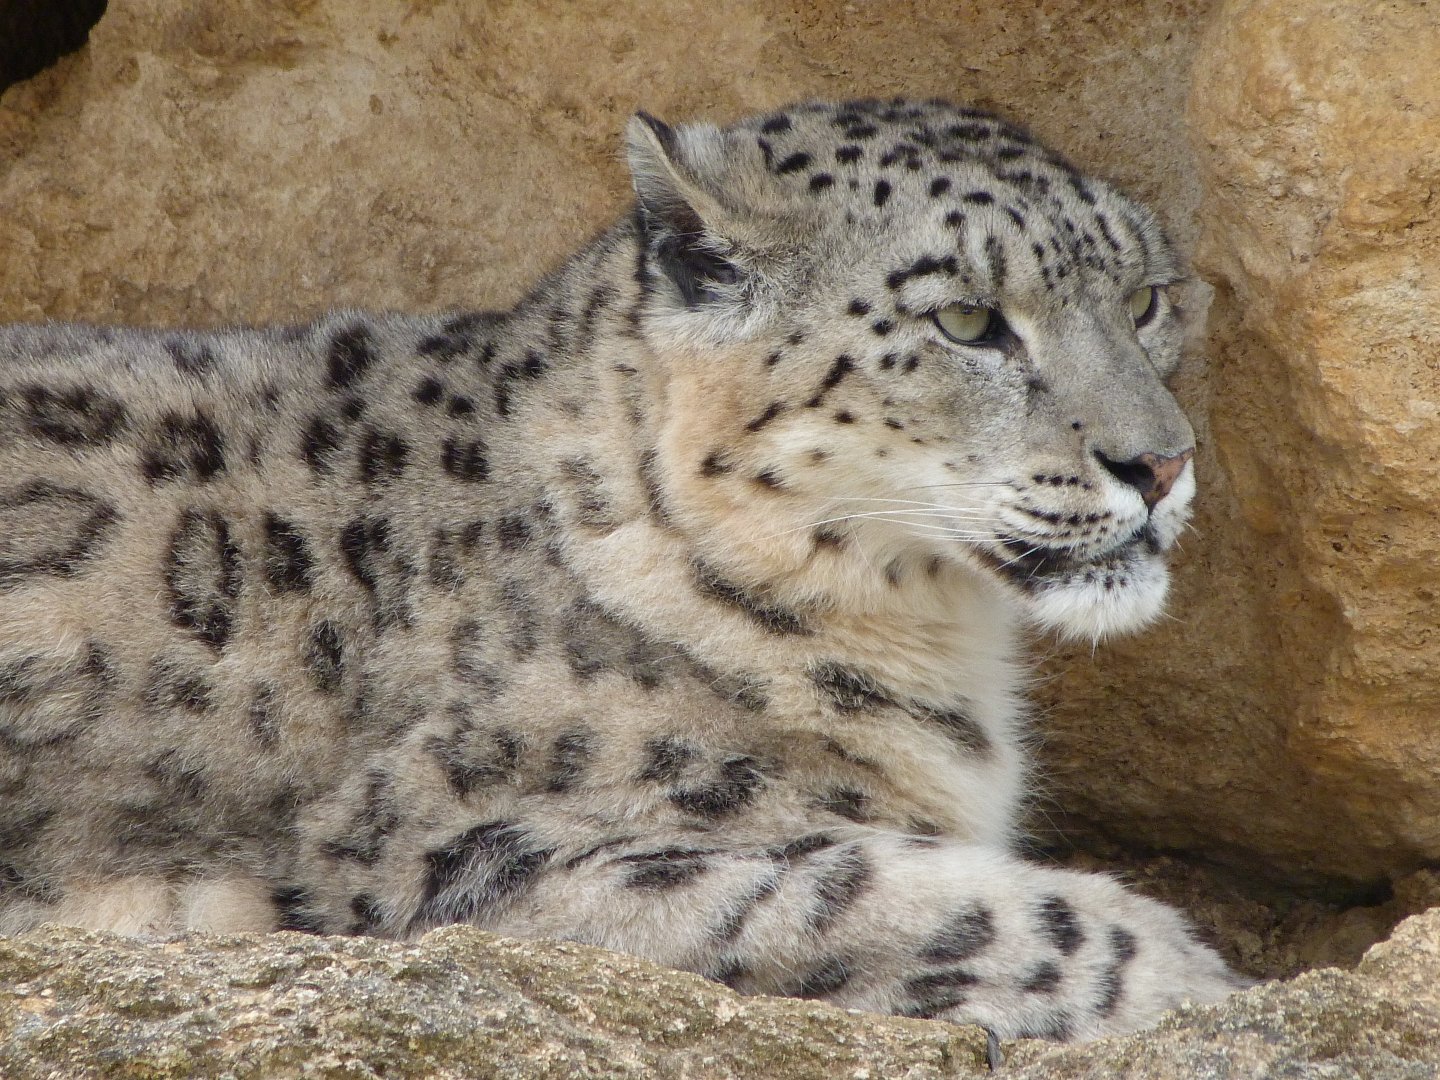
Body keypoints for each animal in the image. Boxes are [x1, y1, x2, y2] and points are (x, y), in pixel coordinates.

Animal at [0, 97, 1244, 1044]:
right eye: (971, 321)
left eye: (1145, 298)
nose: (1161, 461)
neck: (941, 638)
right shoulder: (447, 850)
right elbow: (861, 892)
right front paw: (1190, 976)